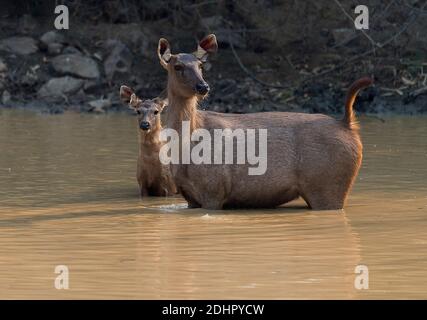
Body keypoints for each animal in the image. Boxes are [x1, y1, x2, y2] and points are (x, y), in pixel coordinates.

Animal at [158, 34, 374, 210]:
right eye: (177, 66)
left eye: (200, 66)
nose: (203, 86)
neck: (186, 148)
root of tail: (346, 124)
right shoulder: (190, 197)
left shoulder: (214, 189)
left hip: (328, 185)